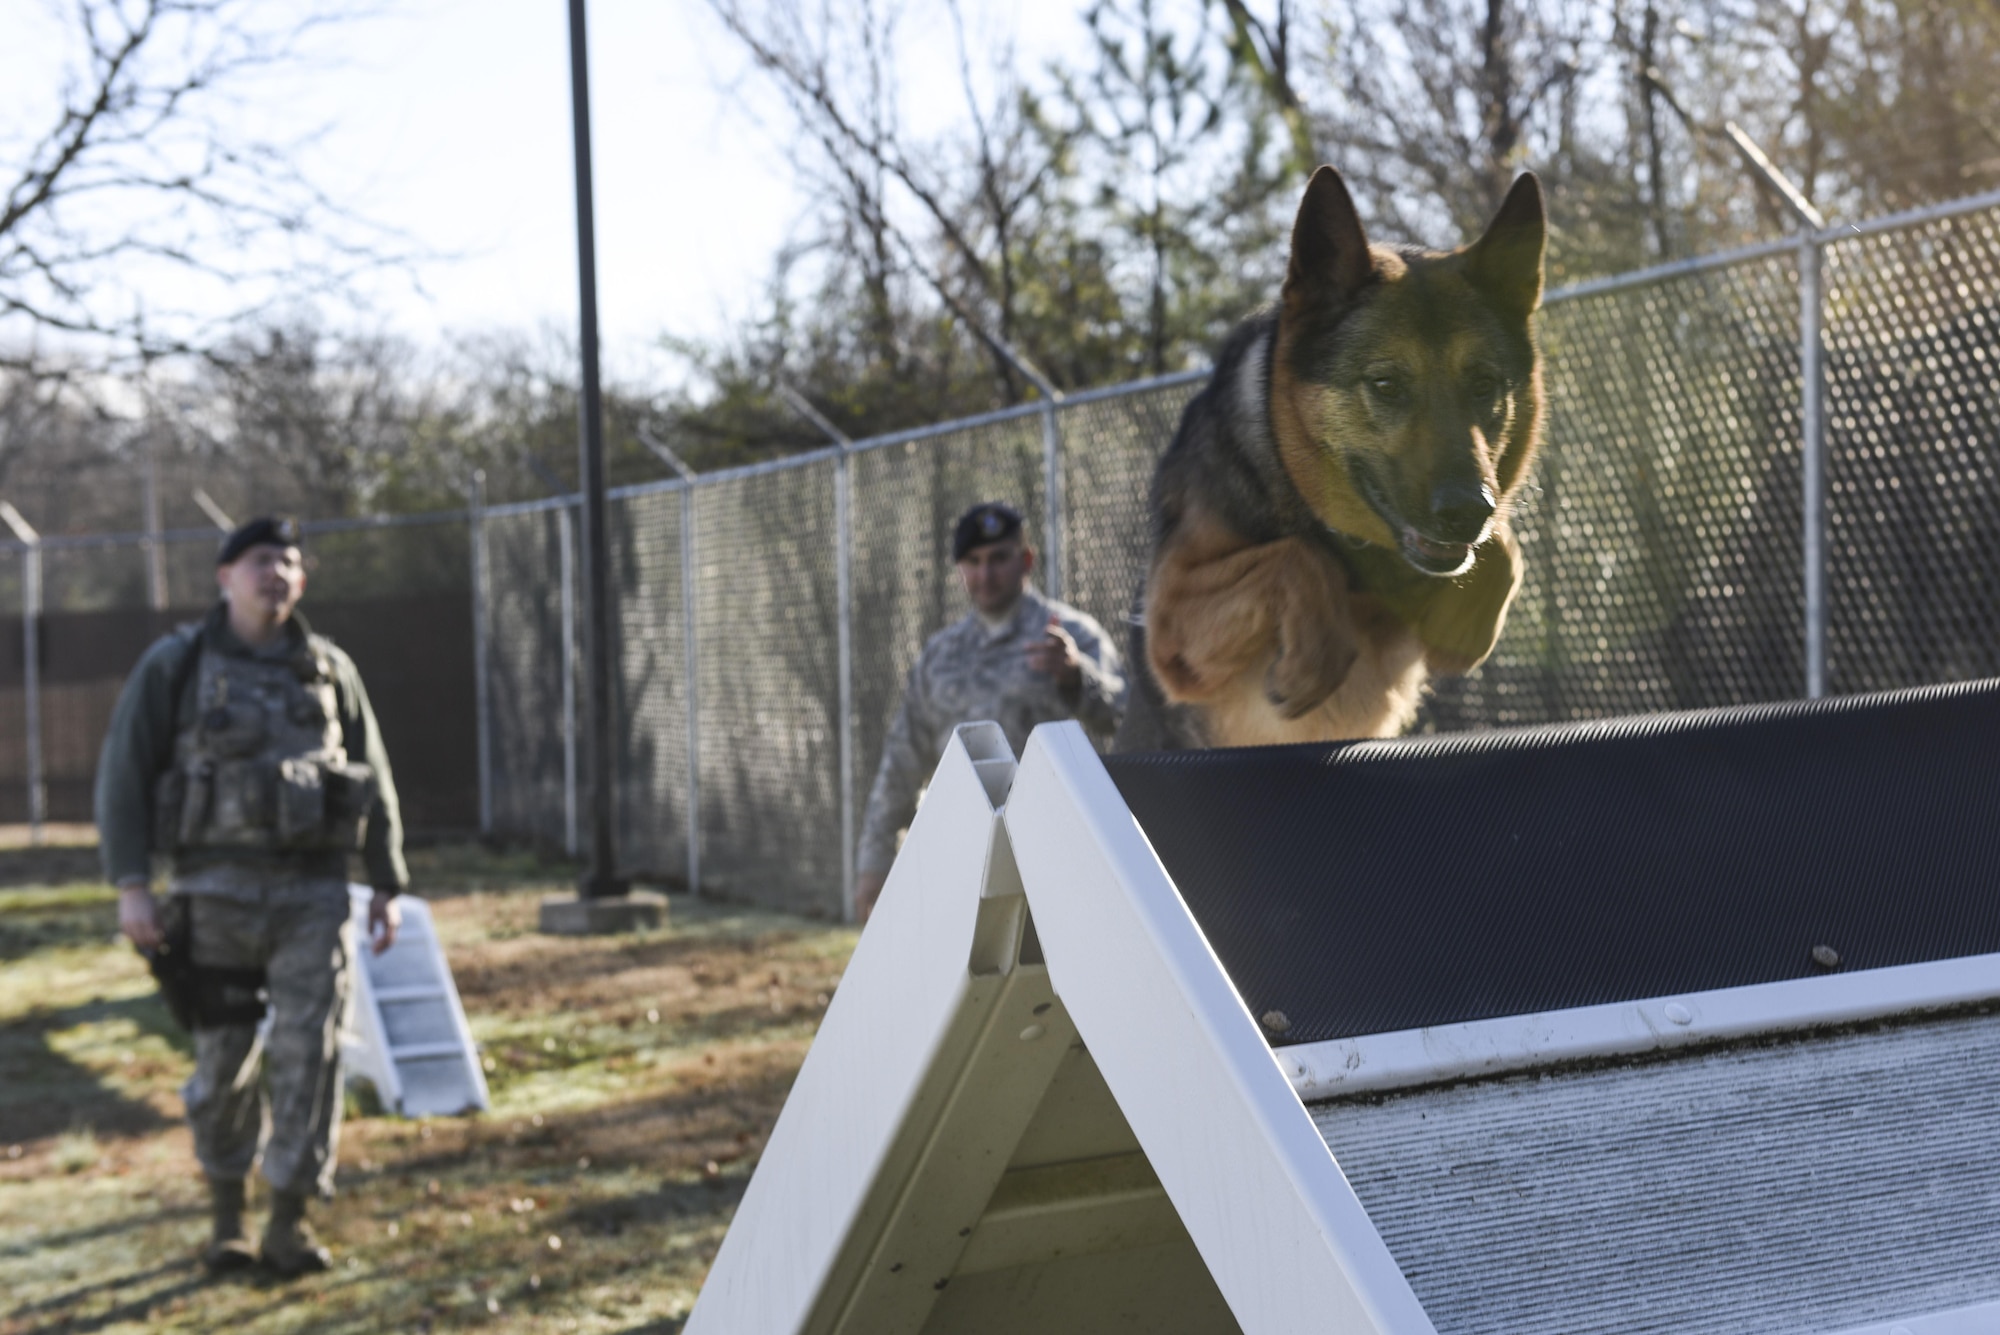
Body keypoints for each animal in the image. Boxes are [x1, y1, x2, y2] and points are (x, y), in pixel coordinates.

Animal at [1120, 166, 1552, 751]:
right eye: (1386, 384)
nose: (1468, 511)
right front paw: (1314, 660)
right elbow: (1300, 557)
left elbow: (1505, 549)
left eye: (1484, 385)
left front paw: (1466, 624)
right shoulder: (1170, 624)